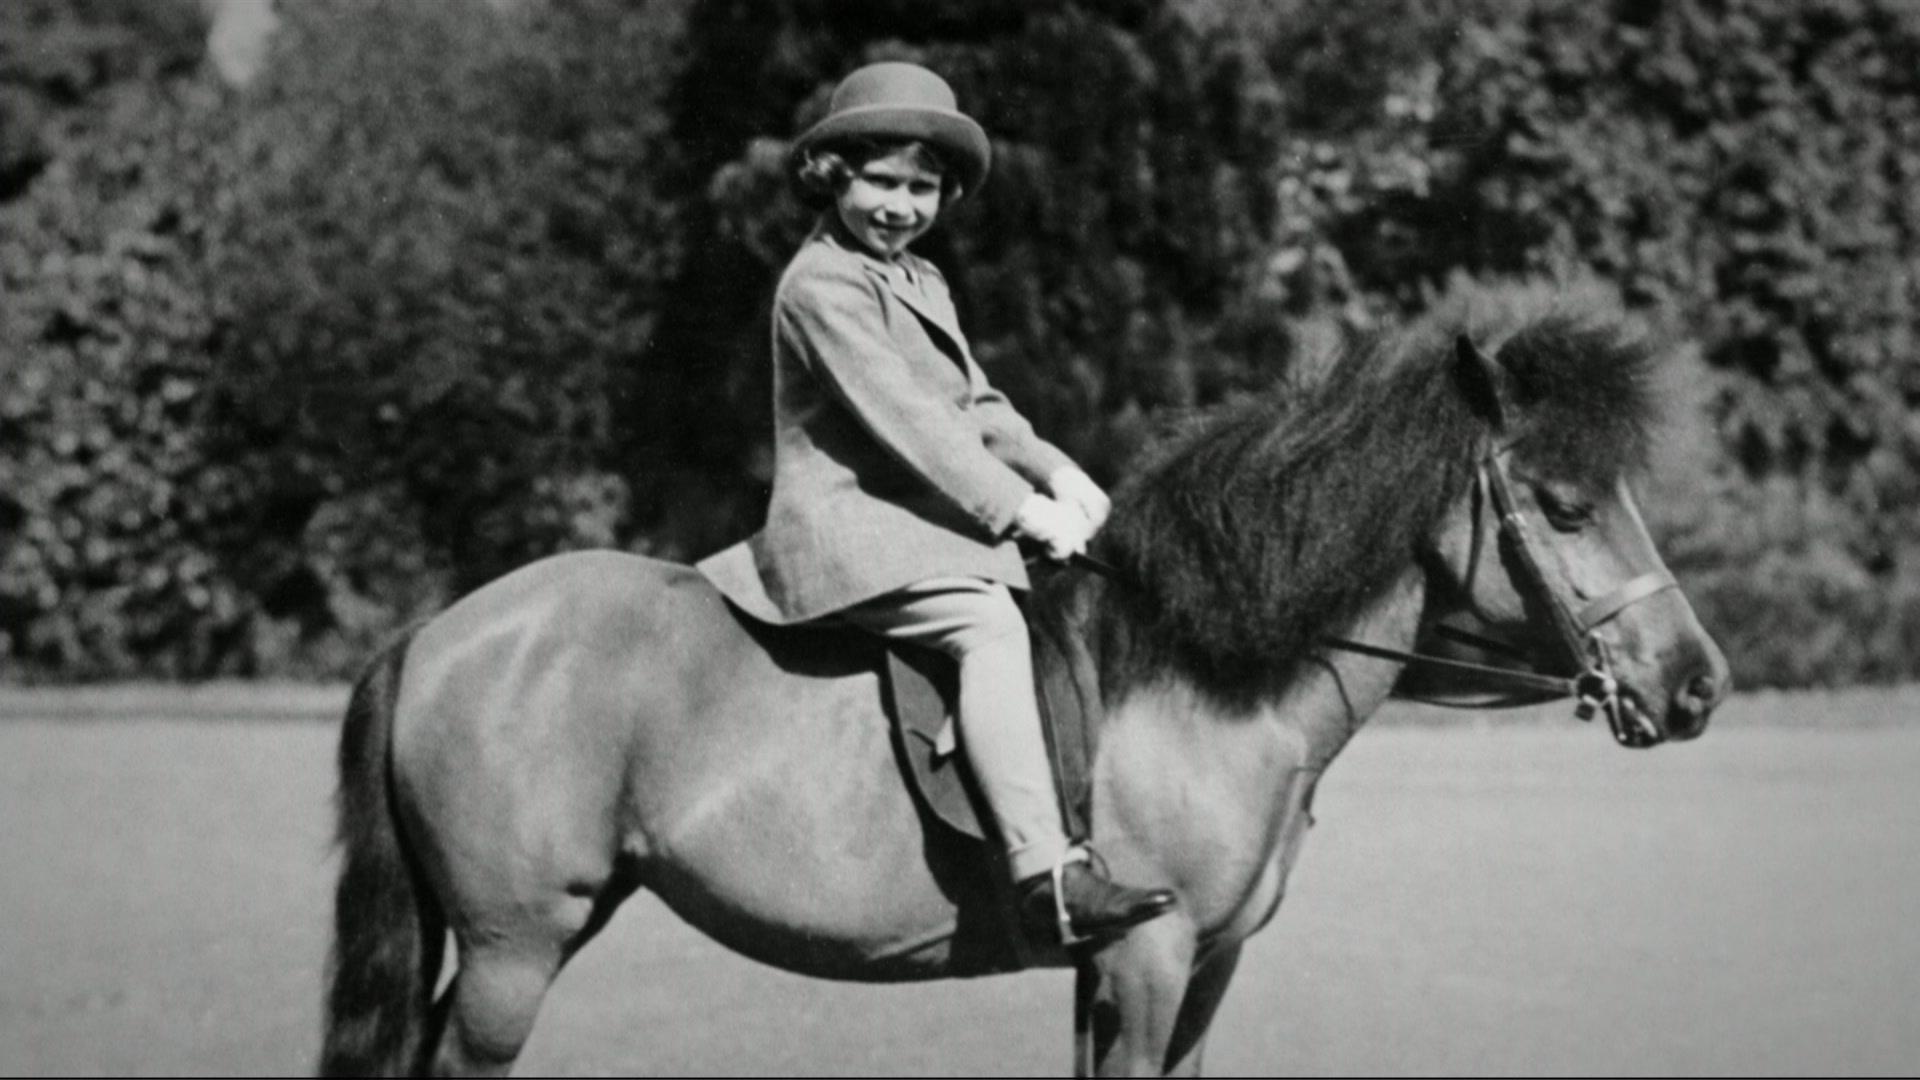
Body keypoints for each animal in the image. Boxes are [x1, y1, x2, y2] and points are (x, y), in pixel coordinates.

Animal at [311, 288, 1728, 1076]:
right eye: (1565, 505)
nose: (1698, 687)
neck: (1199, 675)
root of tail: (439, 633)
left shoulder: (1200, 971)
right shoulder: (1148, 958)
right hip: (514, 950)